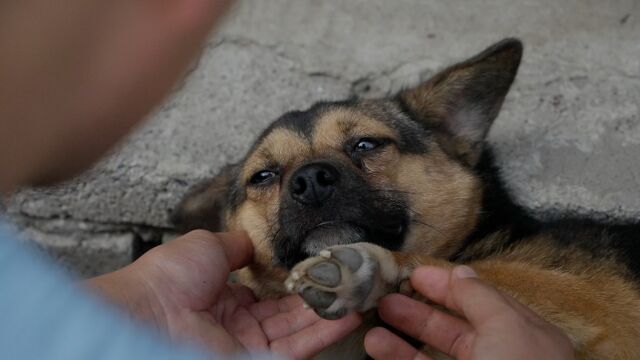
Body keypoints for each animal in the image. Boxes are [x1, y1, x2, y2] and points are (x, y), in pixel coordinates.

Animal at [170, 39, 640, 360]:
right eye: (264, 176)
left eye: (366, 144)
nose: (310, 181)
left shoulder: (611, 308)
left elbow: (469, 270)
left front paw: (374, 268)